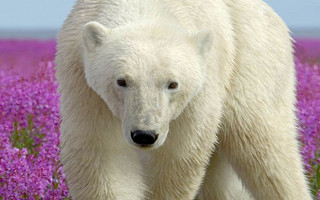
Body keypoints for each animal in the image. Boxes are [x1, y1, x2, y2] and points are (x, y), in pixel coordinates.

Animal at [55, 0, 312, 200]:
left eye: (172, 84)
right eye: (122, 81)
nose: (144, 135)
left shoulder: (200, 90)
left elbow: (177, 157)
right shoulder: (85, 89)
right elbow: (103, 154)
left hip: (252, 61)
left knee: (265, 150)